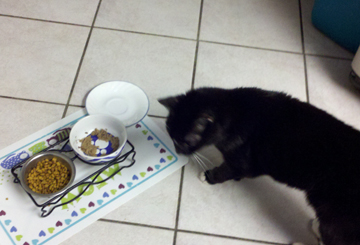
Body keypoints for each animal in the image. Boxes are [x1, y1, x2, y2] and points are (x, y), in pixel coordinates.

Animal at [159, 87, 360, 244]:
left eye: (185, 142)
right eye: (170, 134)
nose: (177, 151)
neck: (234, 111)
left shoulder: (242, 158)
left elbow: (227, 170)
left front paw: (209, 176)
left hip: (335, 218)